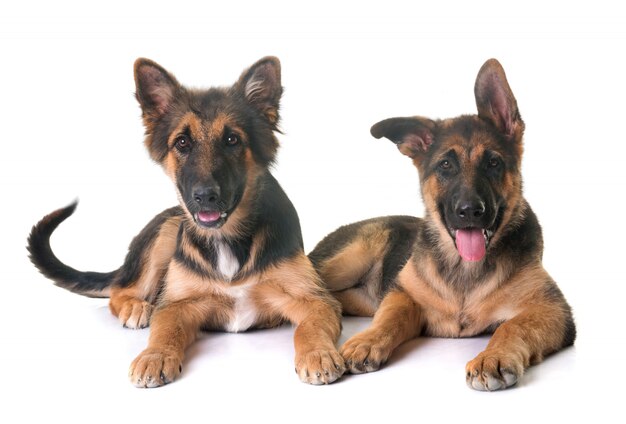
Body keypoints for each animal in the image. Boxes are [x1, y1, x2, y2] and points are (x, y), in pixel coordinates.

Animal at [26, 55, 344, 388]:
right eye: (181, 142)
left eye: (232, 139)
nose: (205, 197)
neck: (228, 239)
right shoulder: (177, 305)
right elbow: (165, 331)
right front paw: (154, 356)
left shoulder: (314, 300)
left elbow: (309, 328)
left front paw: (318, 353)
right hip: (167, 231)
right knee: (119, 292)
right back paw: (136, 307)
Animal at [308, 58, 576, 390]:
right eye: (446, 165)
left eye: (493, 163)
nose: (471, 211)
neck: (464, 269)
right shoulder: (402, 294)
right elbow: (390, 317)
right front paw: (367, 340)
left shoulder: (553, 309)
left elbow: (512, 327)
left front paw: (493, 356)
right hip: (347, 260)